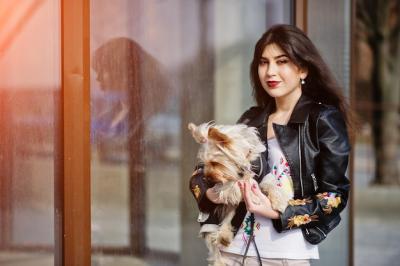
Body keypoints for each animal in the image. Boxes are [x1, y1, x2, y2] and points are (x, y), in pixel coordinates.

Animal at [188, 121, 294, 264]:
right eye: (202, 165)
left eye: (215, 163)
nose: (207, 178)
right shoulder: (225, 185)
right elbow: (235, 184)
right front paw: (251, 194)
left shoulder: (263, 175)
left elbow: (271, 183)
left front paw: (280, 202)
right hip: (210, 220)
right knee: (214, 243)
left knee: (228, 218)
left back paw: (224, 236)